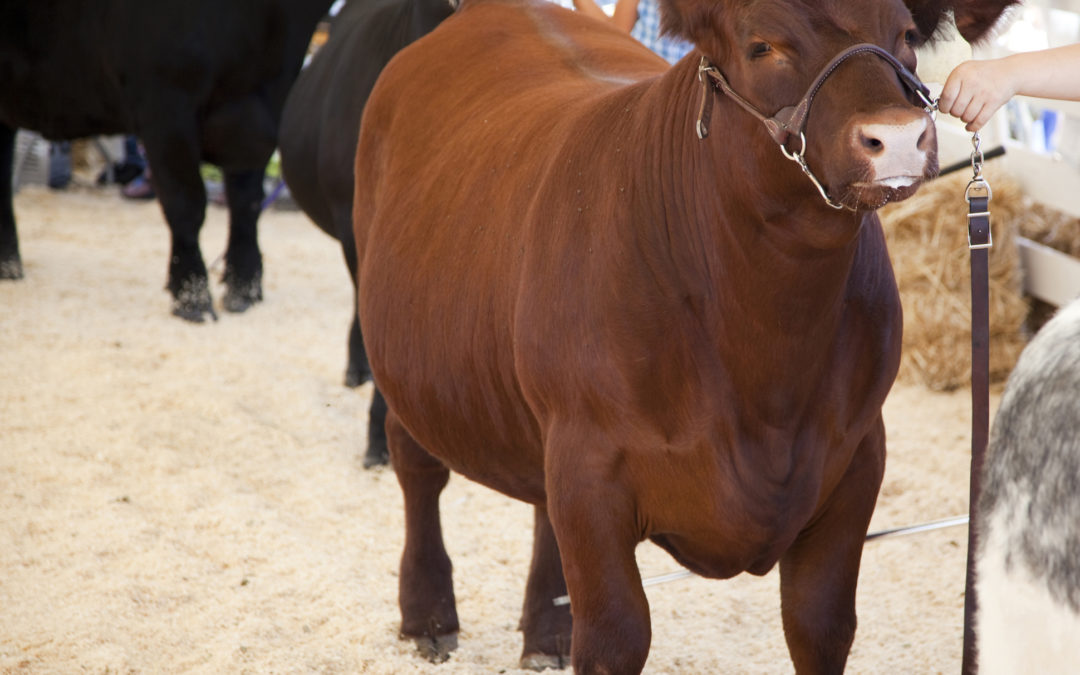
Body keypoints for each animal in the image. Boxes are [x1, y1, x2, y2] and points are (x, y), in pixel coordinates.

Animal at [0, 0, 332, 321]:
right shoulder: (165, 108)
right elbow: (186, 205)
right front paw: (191, 299)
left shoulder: (263, 108)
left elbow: (246, 203)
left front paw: (243, 291)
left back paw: (9, 265)